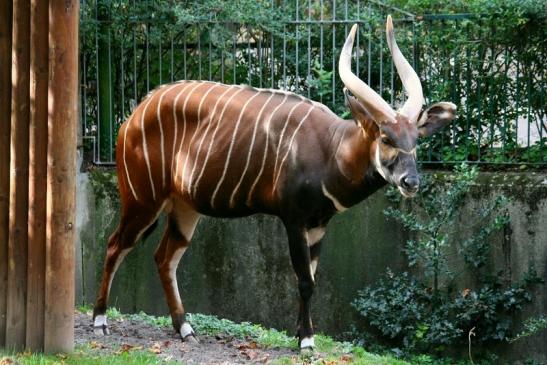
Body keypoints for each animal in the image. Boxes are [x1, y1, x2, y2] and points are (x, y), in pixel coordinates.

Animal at [92, 15, 456, 348]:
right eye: (385, 138)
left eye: (415, 140)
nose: (411, 182)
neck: (330, 149)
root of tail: (134, 115)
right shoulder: (293, 219)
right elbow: (304, 280)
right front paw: (306, 340)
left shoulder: (319, 224)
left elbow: (311, 276)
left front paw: (300, 333)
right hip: (142, 200)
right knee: (115, 244)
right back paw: (99, 322)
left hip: (185, 207)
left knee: (164, 257)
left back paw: (185, 329)